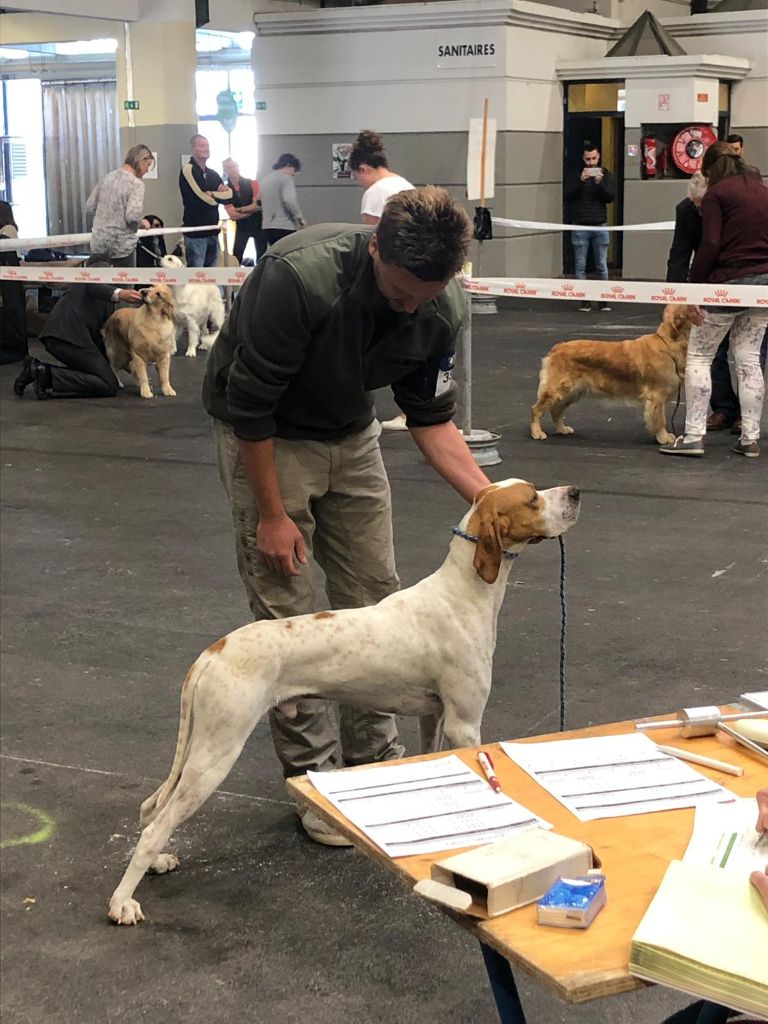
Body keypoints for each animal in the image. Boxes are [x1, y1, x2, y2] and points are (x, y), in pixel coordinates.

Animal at [105, 481, 581, 929]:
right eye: (532, 499)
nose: (575, 492)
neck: (463, 592)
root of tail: (215, 650)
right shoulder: (465, 722)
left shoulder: (435, 715)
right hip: (216, 751)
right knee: (157, 825)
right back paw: (122, 902)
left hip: (200, 747)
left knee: (152, 809)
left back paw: (156, 863)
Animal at [528, 305, 696, 446]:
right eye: (694, 312)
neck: (668, 345)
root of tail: (557, 348)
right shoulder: (656, 396)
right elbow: (660, 420)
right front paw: (663, 437)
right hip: (558, 390)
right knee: (536, 409)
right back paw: (537, 432)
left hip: (572, 392)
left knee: (556, 411)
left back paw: (562, 428)